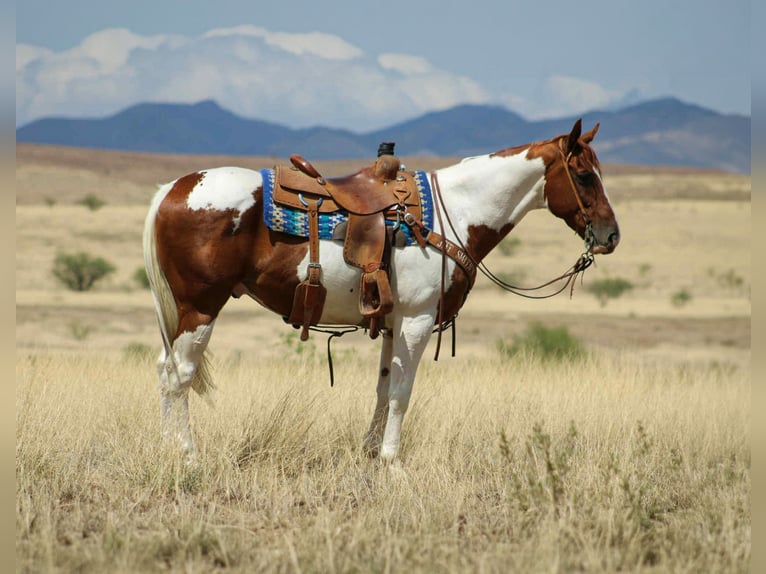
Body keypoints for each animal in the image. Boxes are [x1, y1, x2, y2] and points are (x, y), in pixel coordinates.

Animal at [143, 119, 620, 461]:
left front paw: (371, 454)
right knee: (179, 376)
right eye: (583, 176)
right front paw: (392, 462)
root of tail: (173, 189)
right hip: (201, 307)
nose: (611, 235)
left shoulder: (392, 322)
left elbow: (383, 386)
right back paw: (185, 456)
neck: (456, 211)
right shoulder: (416, 319)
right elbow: (401, 394)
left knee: (165, 370)